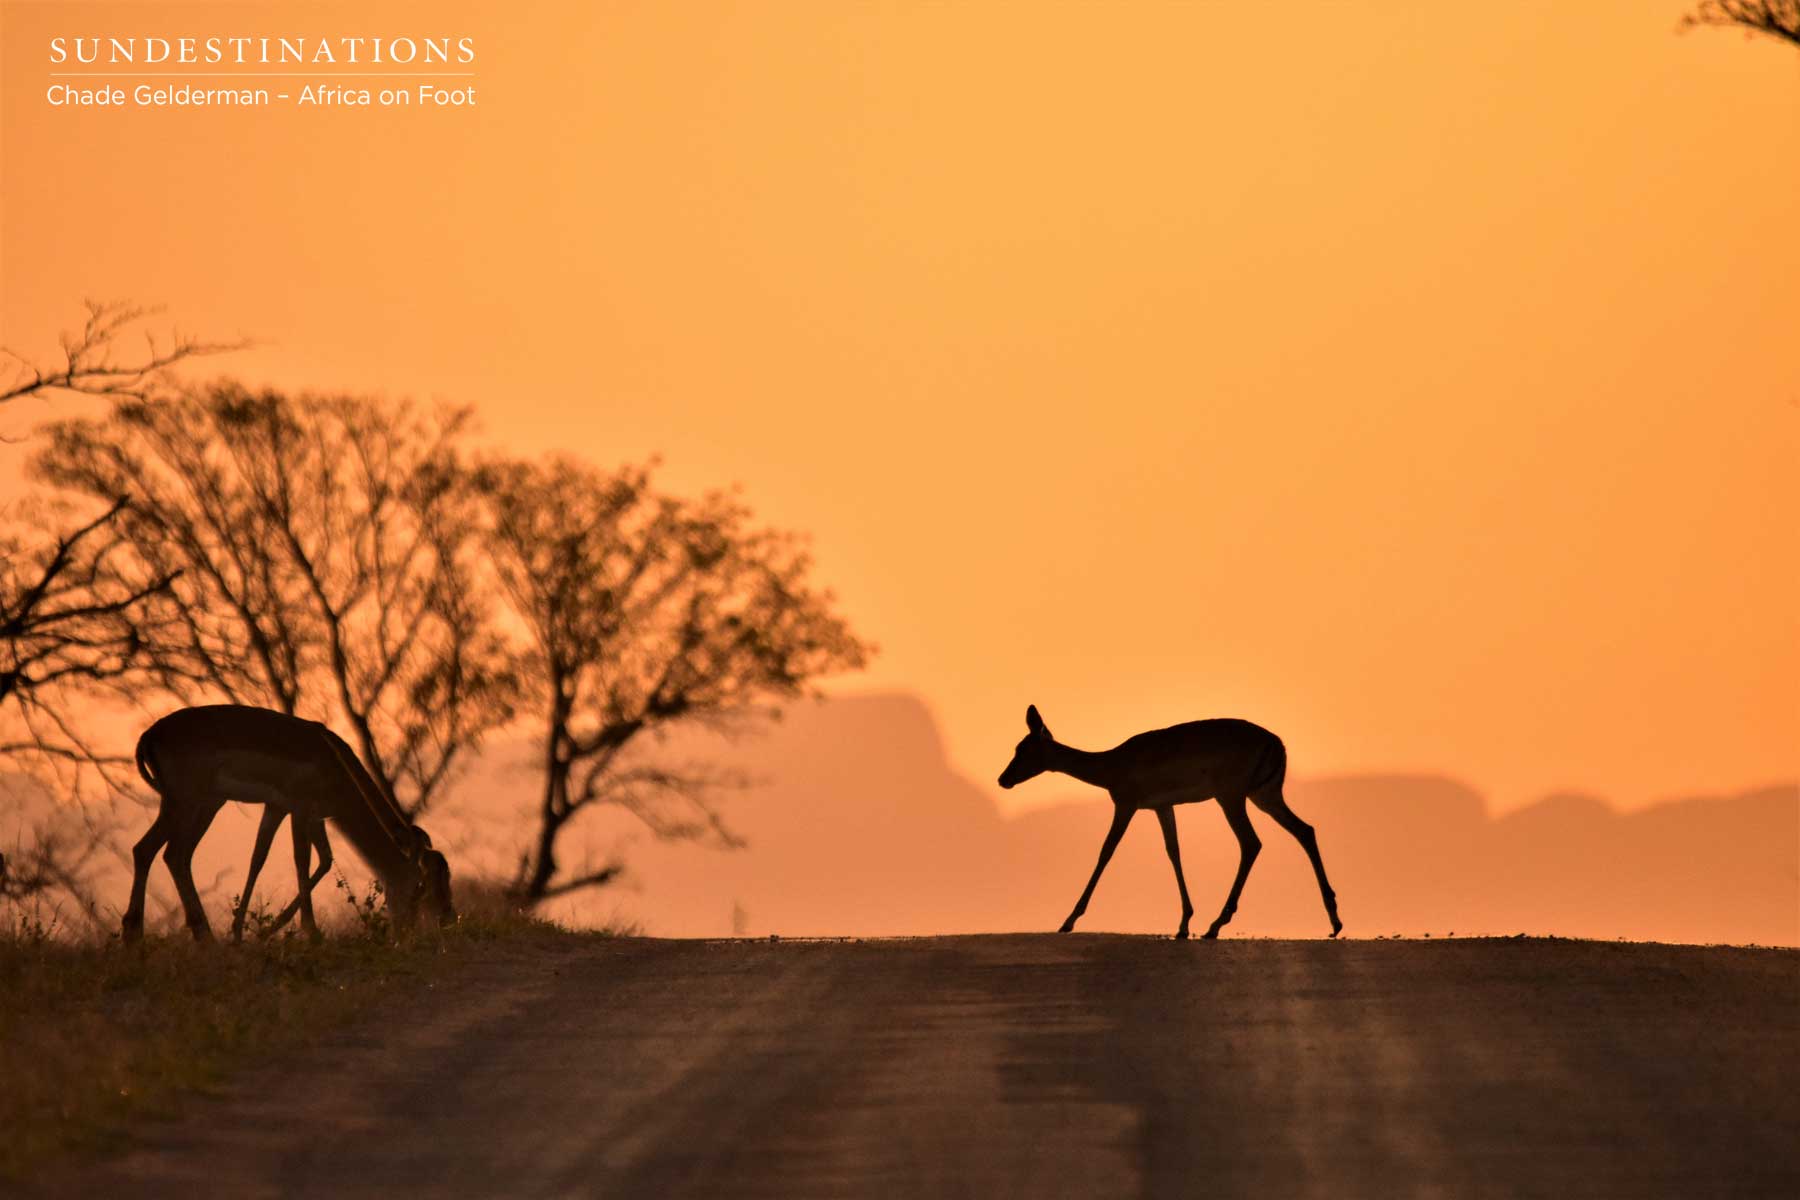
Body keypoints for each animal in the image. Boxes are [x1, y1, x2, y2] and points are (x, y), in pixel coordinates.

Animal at [124, 704, 454, 941]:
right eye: (421, 885)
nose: (447, 920)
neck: (334, 761)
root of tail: (149, 735)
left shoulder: (289, 810)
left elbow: (269, 858)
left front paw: (246, 931)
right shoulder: (300, 808)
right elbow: (301, 860)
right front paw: (311, 932)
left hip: (202, 805)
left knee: (173, 855)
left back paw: (198, 936)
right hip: (184, 803)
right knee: (153, 850)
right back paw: (139, 936)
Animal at [998, 705, 1341, 939]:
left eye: (1023, 749)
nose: (1003, 779)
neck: (1112, 764)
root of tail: (1276, 743)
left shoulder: (1126, 805)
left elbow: (1106, 852)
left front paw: (1068, 921)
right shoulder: (1162, 807)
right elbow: (1173, 851)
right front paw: (1183, 924)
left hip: (1231, 797)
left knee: (1251, 842)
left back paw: (1216, 925)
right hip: (1265, 796)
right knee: (1305, 830)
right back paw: (1334, 922)